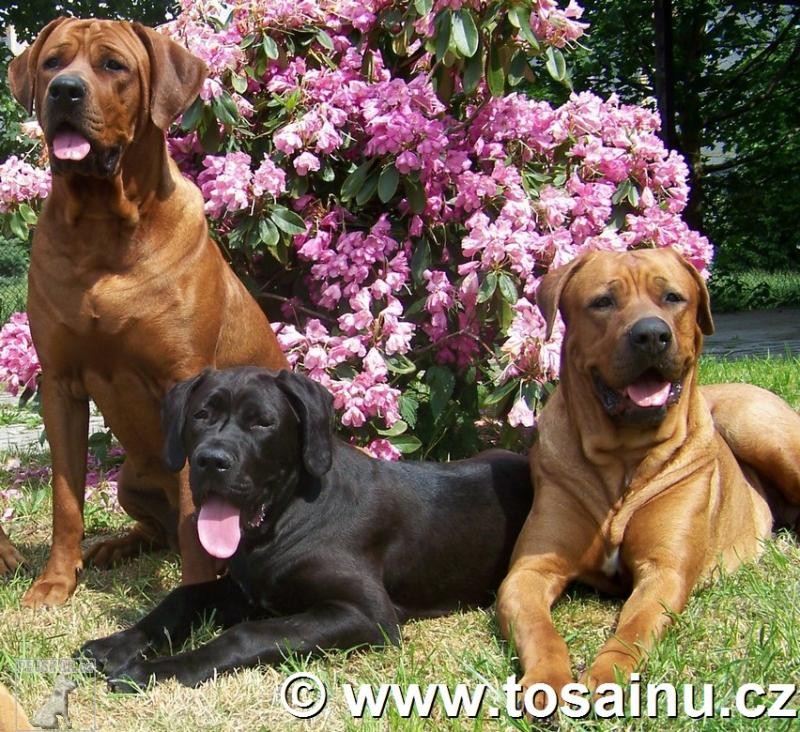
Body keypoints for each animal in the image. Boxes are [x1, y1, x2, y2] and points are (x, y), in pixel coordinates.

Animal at [7, 20, 290, 608]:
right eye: (52, 62)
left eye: (113, 65)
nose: (64, 91)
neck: (100, 224)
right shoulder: (60, 384)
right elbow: (66, 499)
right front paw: (55, 581)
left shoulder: (183, 381)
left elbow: (194, 517)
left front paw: (195, 597)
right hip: (129, 481)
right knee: (156, 530)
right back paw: (115, 546)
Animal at [78, 368, 536, 688]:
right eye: (201, 415)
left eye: (262, 423)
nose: (211, 460)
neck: (283, 519)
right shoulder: (244, 589)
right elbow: (184, 597)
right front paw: (117, 644)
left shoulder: (367, 615)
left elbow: (245, 635)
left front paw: (159, 669)